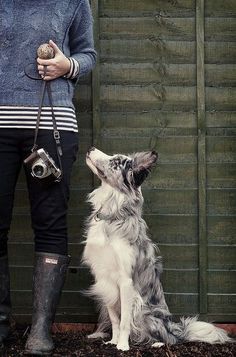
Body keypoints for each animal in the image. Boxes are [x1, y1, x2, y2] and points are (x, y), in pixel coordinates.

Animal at [81, 146, 232, 350]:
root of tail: (176, 329)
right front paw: (113, 341)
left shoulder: (125, 281)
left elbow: (124, 321)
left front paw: (122, 346)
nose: (90, 148)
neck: (112, 217)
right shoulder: (104, 280)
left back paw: (158, 343)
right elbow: (115, 319)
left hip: (148, 315)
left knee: (170, 339)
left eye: (115, 162)